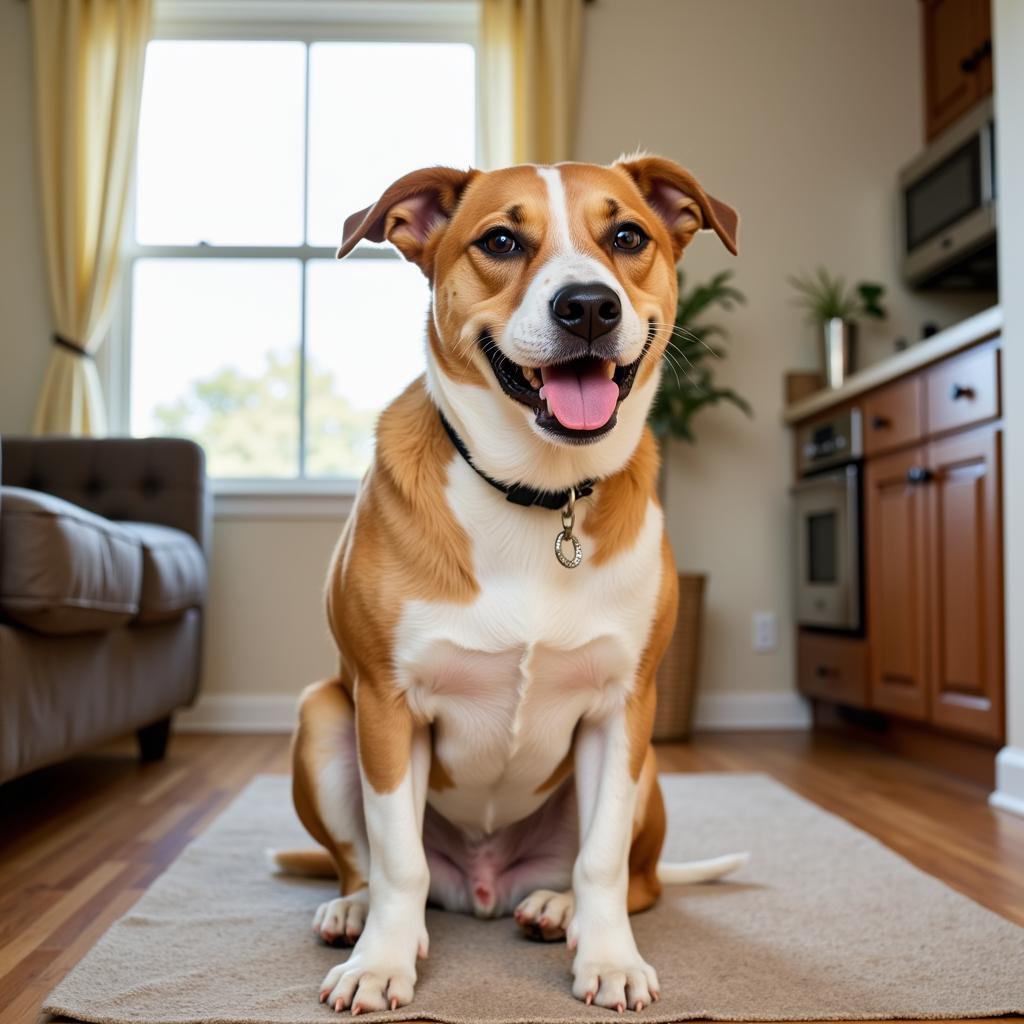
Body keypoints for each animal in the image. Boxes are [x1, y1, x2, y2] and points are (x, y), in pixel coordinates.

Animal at [272, 153, 749, 1015]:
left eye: (628, 236)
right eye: (499, 240)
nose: (588, 305)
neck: (539, 494)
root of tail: (488, 885)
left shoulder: (624, 710)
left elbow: (602, 860)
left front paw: (609, 959)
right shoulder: (384, 705)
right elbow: (397, 860)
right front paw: (381, 961)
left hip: (646, 770)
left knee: (639, 881)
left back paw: (557, 907)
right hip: (323, 713)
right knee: (364, 862)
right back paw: (354, 911)